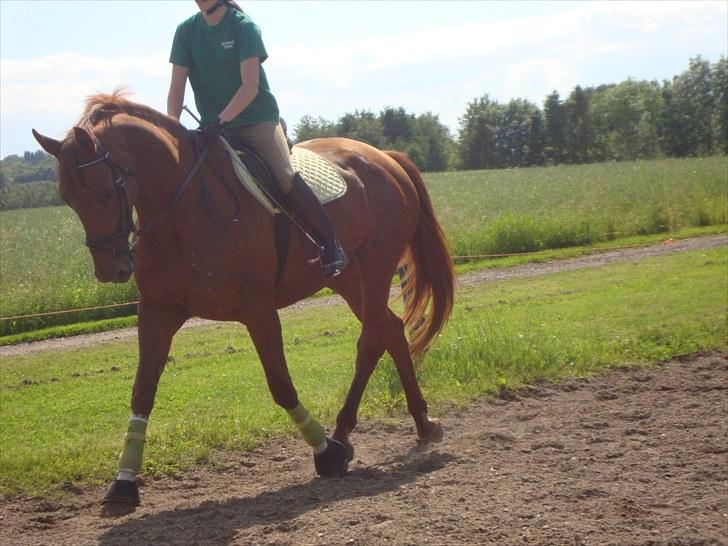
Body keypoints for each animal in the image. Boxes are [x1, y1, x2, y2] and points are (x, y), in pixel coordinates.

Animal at [34, 91, 456, 512]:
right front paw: (124, 483)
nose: (112, 270)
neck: (184, 212)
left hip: (376, 269)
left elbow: (281, 386)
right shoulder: (157, 312)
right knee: (391, 330)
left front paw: (326, 453)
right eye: (68, 199)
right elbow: (142, 391)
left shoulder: (259, 310)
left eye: (106, 191)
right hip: (349, 279)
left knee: (370, 342)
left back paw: (343, 433)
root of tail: (385, 157)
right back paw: (421, 423)